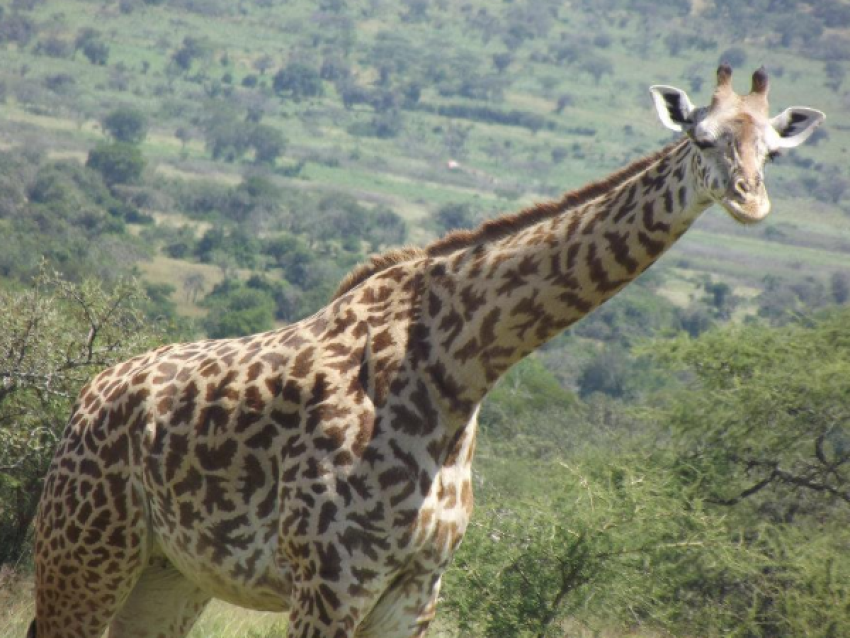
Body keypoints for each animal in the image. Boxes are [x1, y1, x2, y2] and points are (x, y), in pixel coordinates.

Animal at [29, 66, 823, 638]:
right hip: (85, 552)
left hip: (170, 574)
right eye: (701, 137)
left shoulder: (415, 590)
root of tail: (88, 397)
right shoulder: (327, 583)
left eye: (773, 151)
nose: (750, 200)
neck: (459, 369)